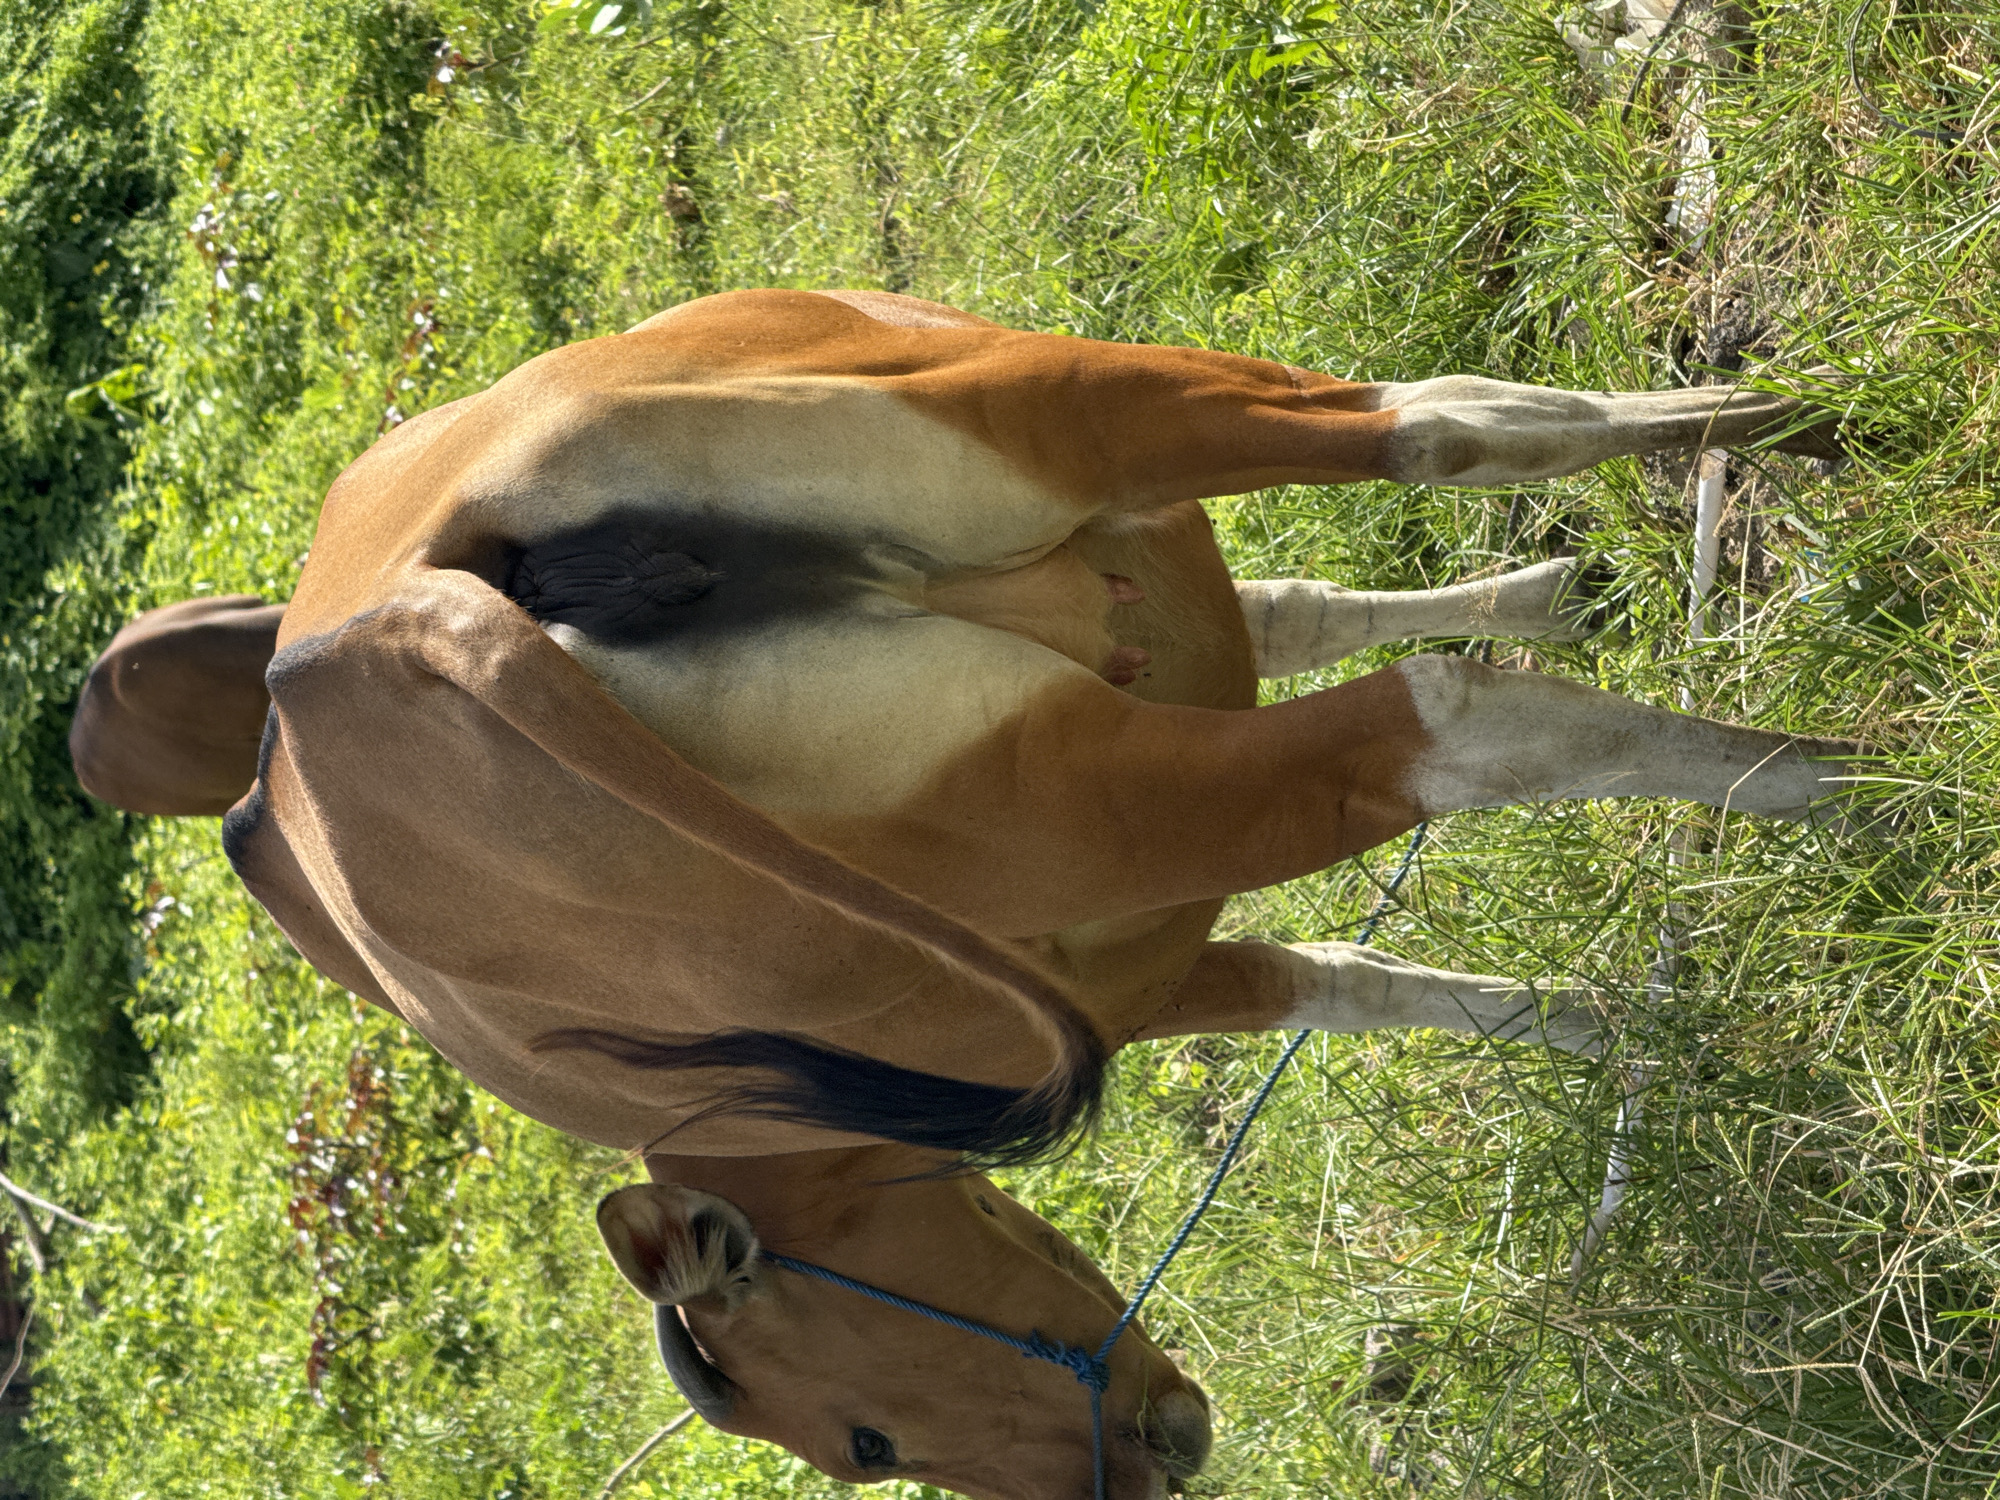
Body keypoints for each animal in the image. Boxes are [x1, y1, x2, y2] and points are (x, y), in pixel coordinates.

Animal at [72, 288, 1858, 1498]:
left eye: (863, 1438)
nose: (1160, 1448)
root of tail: (388, 629)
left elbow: (1329, 589)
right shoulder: (1133, 946)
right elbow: (1358, 963)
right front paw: (1618, 1025)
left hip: (1057, 402)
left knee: (1452, 443)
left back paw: (1834, 635)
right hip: (1104, 691)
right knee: (1462, 641)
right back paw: (1829, 702)